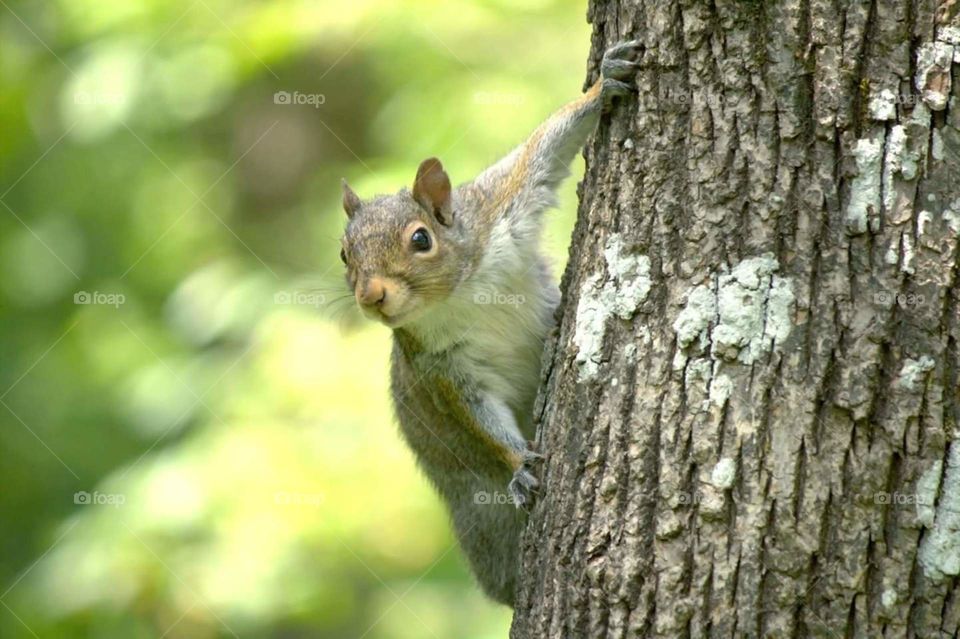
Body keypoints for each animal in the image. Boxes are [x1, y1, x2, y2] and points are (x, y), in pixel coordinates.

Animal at [337, 41, 641, 606]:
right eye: (344, 254)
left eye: (421, 239)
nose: (371, 296)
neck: (458, 295)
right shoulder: (440, 366)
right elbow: (476, 418)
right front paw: (520, 466)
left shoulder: (499, 208)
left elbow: (542, 154)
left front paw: (601, 85)